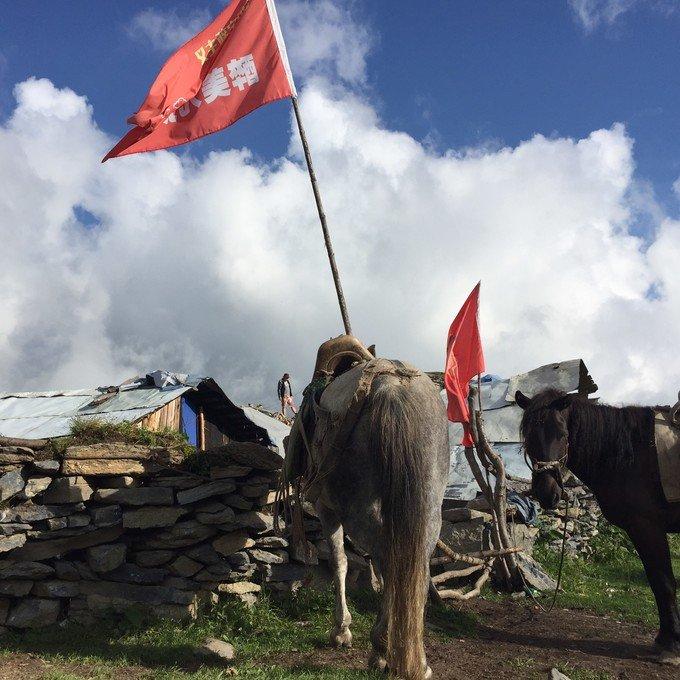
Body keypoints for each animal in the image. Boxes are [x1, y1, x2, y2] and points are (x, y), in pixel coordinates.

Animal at [516, 388, 680, 664]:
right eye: (528, 435)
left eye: (562, 435)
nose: (547, 493)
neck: (632, 454)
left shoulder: (648, 527)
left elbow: (663, 582)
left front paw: (670, 644)